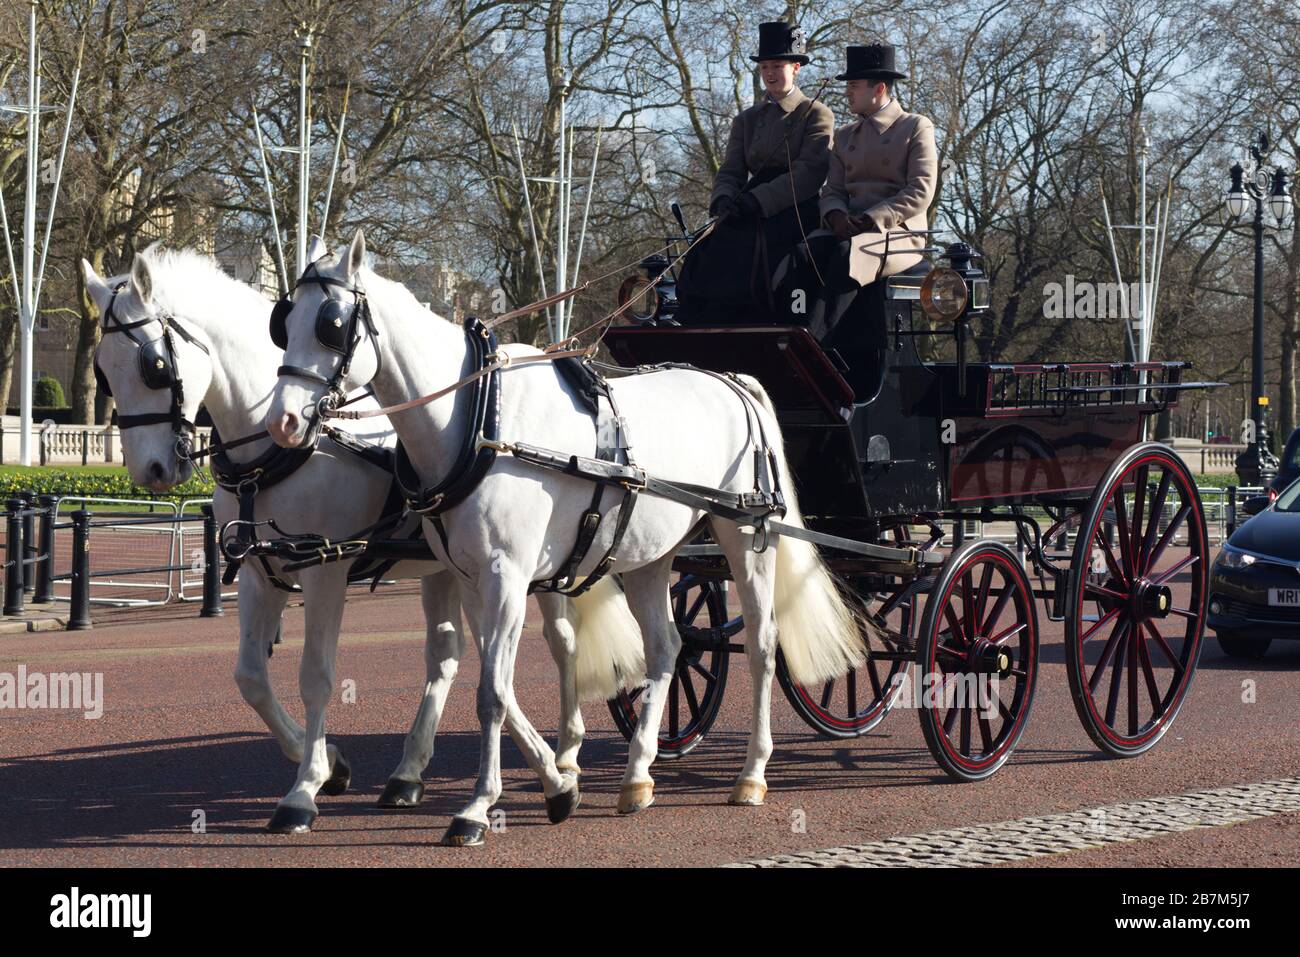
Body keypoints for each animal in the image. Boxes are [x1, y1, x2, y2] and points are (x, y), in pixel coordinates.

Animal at [82, 244, 644, 832]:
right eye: (103, 371)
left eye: (154, 366)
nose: (150, 471)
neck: (281, 451)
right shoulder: (263, 572)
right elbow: (251, 677)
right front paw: (329, 764)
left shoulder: (324, 571)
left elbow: (316, 675)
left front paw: (305, 788)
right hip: (447, 569)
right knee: (449, 655)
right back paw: (418, 773)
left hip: (542, 570)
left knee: (561, 644)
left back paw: (567, 754)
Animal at [267, 230, 868, 842]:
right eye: (283, 322)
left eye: (332, 324)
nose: (282, 423)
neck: (480, 422)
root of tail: (734, 381)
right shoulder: (471, 578)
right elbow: (500, 685)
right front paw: (558, 784)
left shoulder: (507, 576)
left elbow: (491, 694)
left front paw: (478, 807)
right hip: (650, 555)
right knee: (667, 647)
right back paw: (637, 775)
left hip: (746, 534)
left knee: (764, 645)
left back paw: (751, 773)